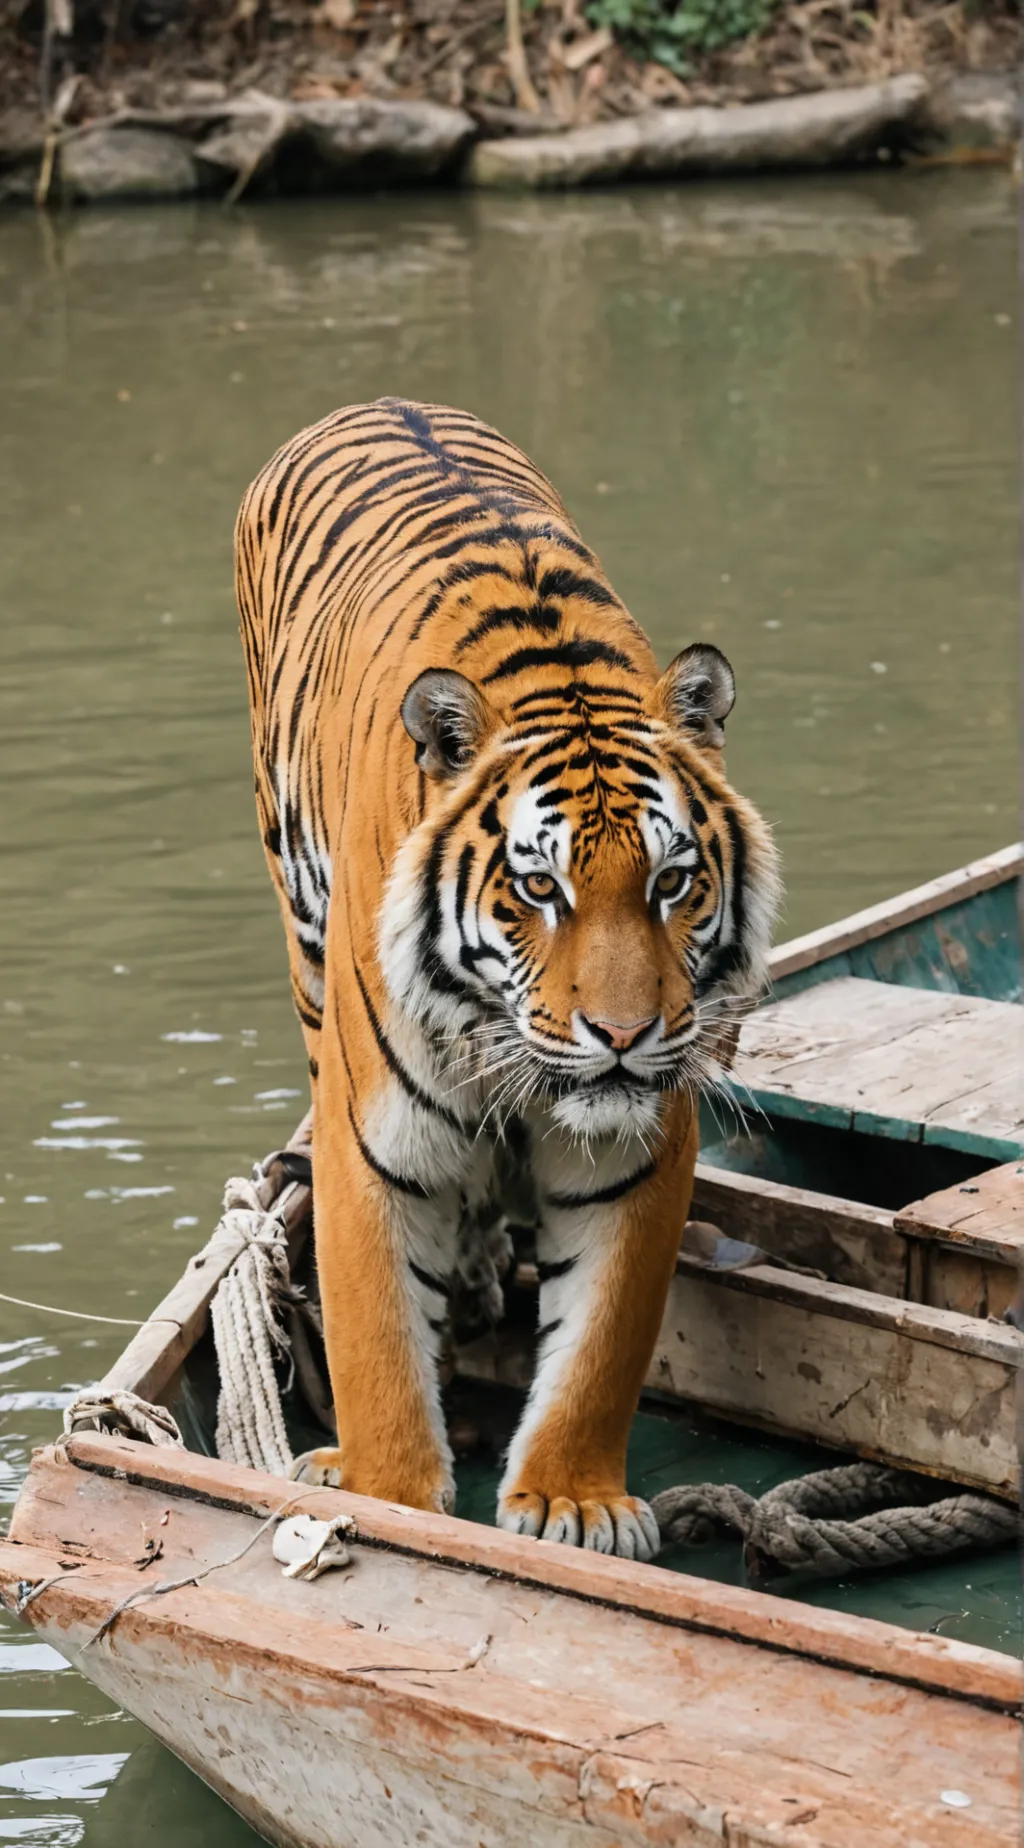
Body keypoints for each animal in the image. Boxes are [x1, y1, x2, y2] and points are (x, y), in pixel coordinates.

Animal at [235, 397, 780, 1561]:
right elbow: (377, 1345)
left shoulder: (637, 1150)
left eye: (673, 882)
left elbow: (602, 1346)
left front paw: (574, 1501)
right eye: (538, 887)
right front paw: (386, 1498)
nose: (622, 1036)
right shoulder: (369, 1138)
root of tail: (371, 398)